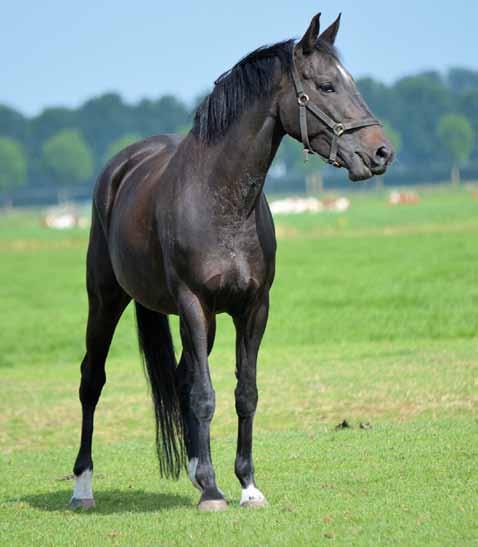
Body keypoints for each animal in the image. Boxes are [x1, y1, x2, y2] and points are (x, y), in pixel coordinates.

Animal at [71, 11, 392, 510]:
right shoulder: (194, 304)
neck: (221, 201)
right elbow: (205, 394)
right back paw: (84, 486)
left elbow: (245, 393)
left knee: (180, 378)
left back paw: (195, 468)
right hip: (106, 299)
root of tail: (121, 167)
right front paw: (212, 492)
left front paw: (246, 485)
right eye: (325, 86)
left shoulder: (253, 308)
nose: (381, 152)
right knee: (93, 379)